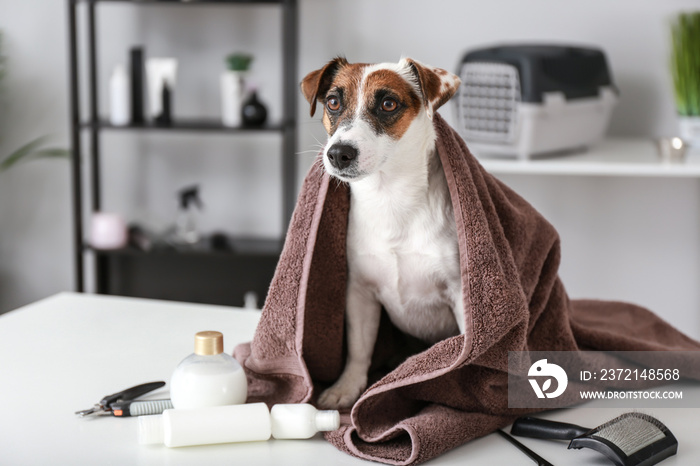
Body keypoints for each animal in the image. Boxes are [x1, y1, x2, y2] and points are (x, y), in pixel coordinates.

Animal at [302, 57, 462, 408]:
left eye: (388, 103)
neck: (390, 201)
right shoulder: (359, 293)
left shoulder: (461, 294)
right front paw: (347, 387)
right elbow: (359, 349)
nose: (339, 153)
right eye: (333, 102)